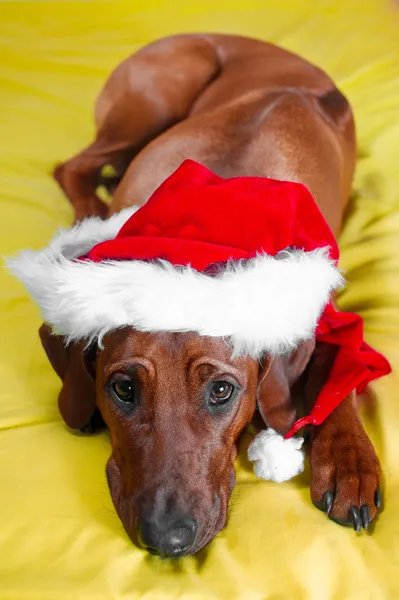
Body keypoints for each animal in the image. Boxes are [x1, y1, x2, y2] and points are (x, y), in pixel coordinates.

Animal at [13, 34, 390, 556]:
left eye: (222, 391)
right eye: (122, 388)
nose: (167, 538)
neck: (208, 220)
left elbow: (340, 373)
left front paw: (351, 462)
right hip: (152, 101)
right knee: (73, 166)